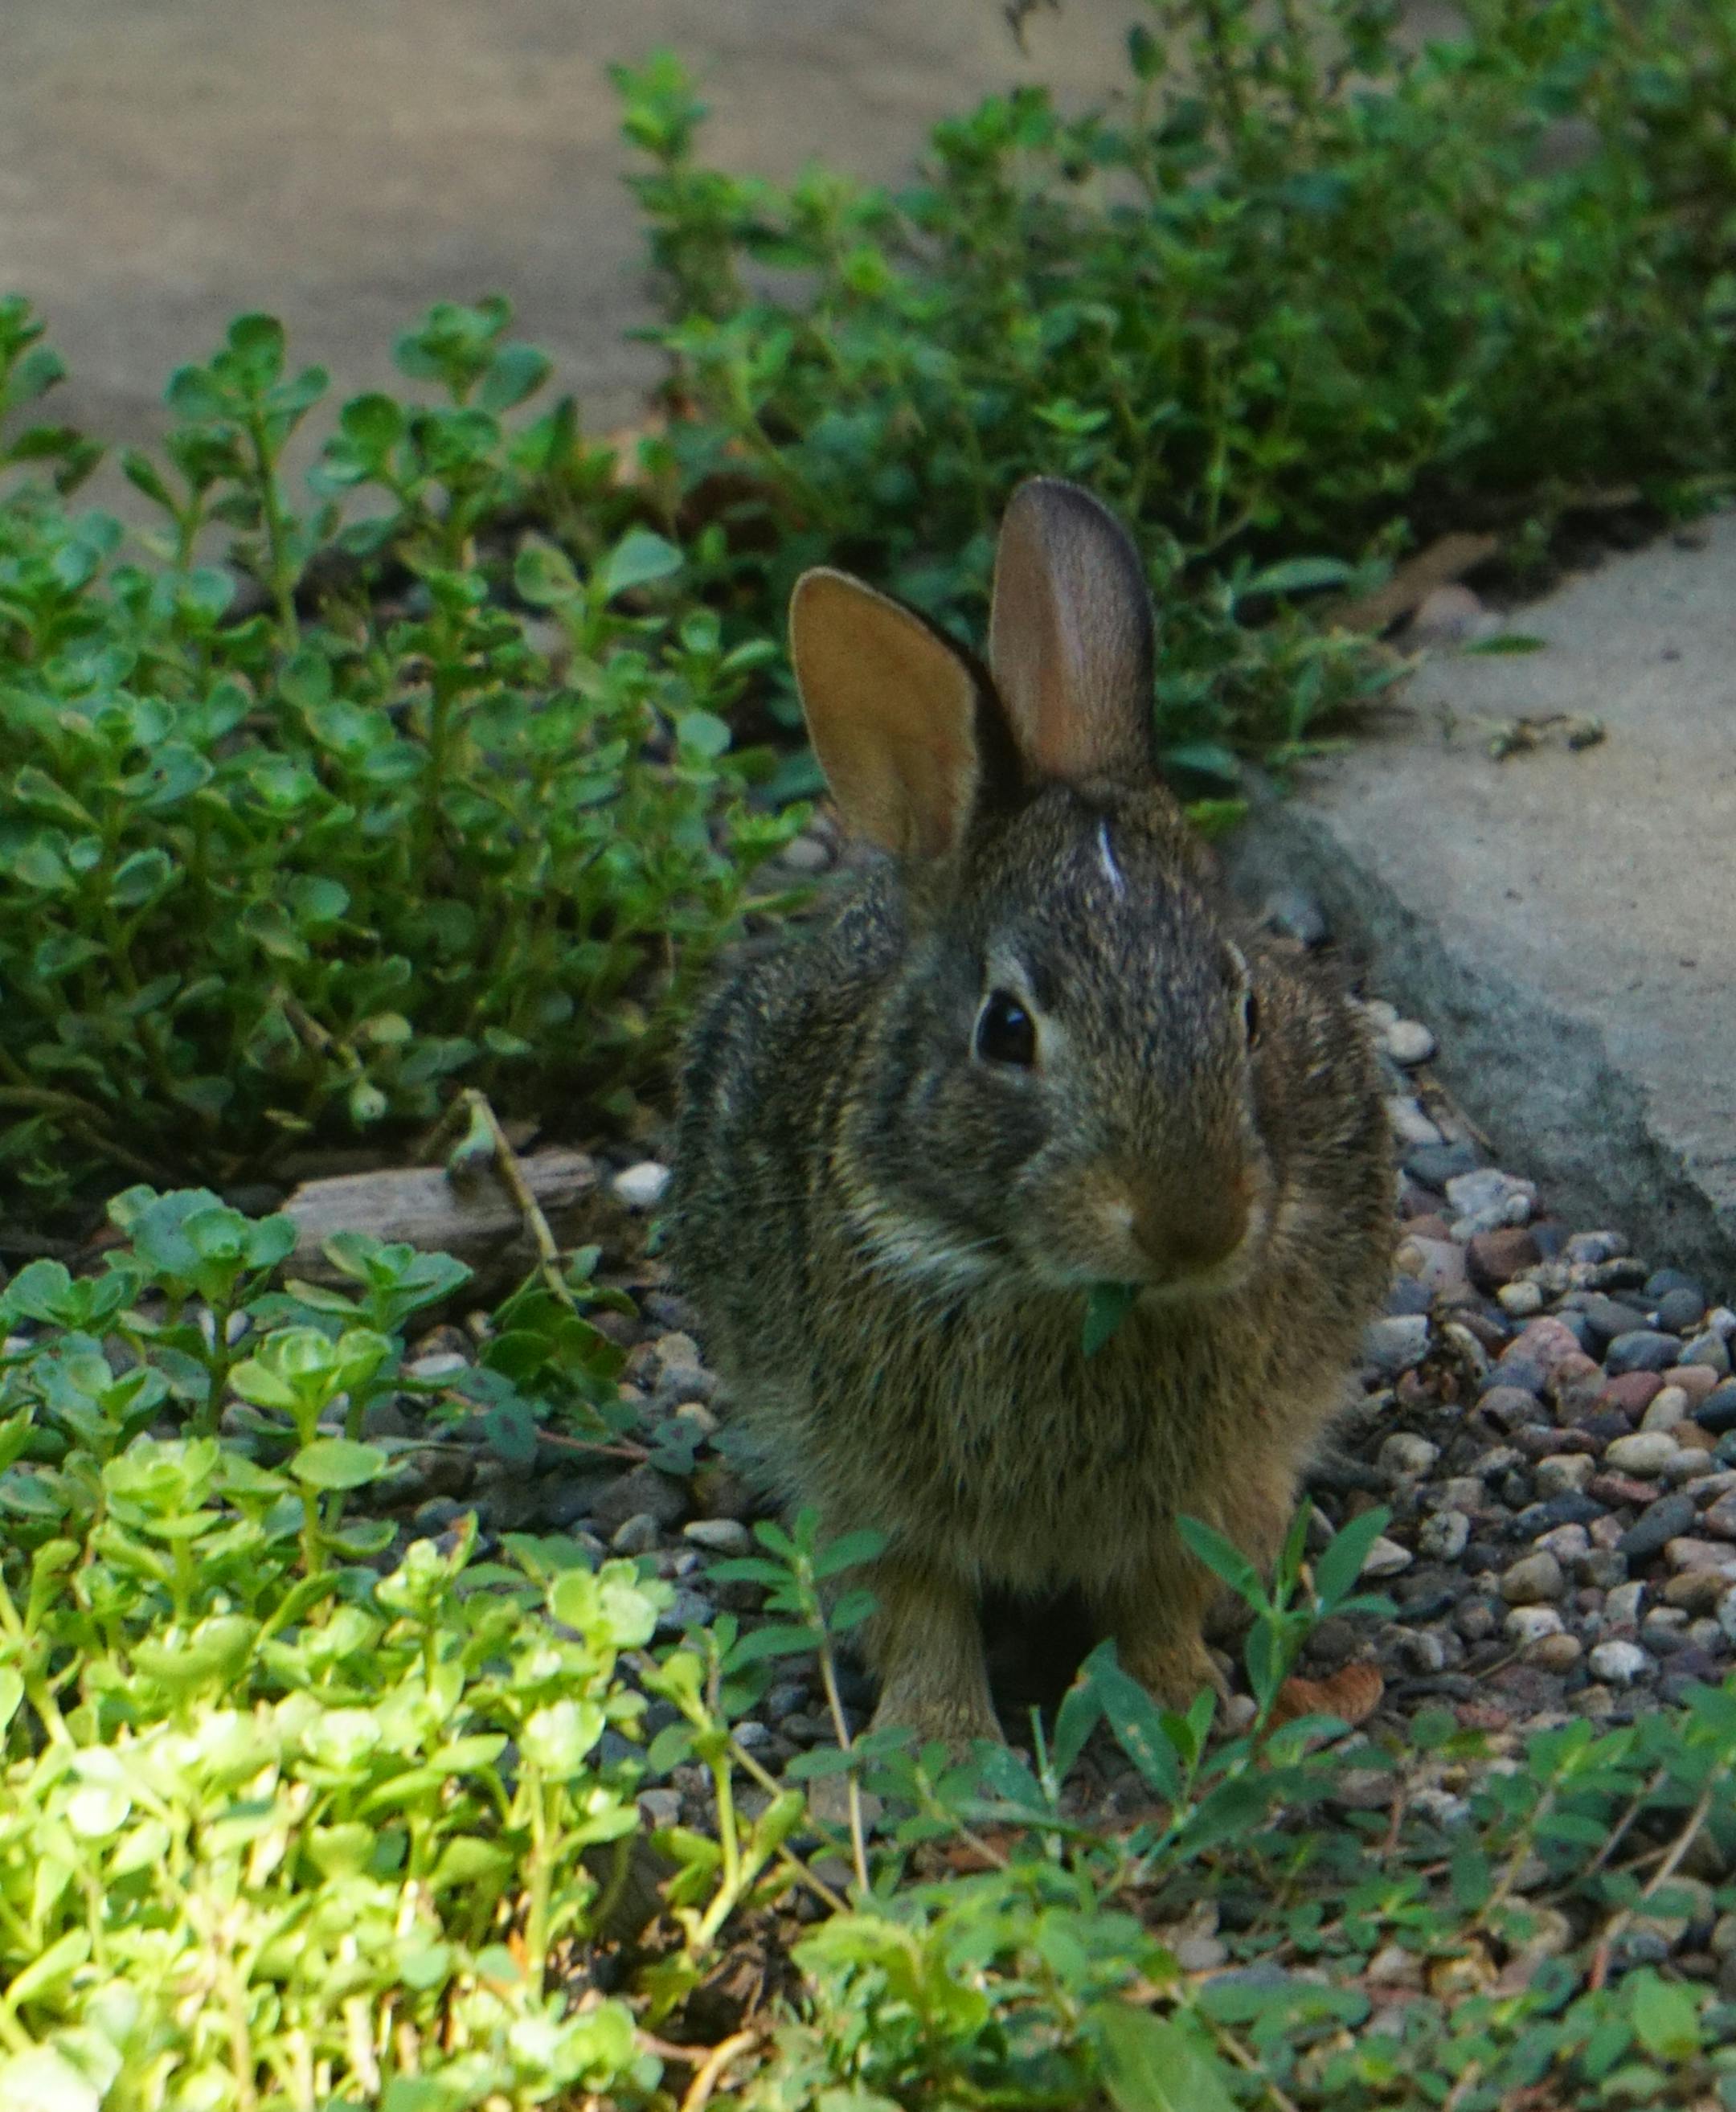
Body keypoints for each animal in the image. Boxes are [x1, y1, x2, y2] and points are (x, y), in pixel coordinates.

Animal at [669, 477, 1395, 1751]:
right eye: (1006, 1030)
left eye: (1247, 1006)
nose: (1194, 1225)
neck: (1053, 1287)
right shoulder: (863, 1480)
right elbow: (917, 1605)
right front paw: (941, 1748)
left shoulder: (1209, 1484)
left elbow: (1160, 1594)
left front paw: (1178, 1706)